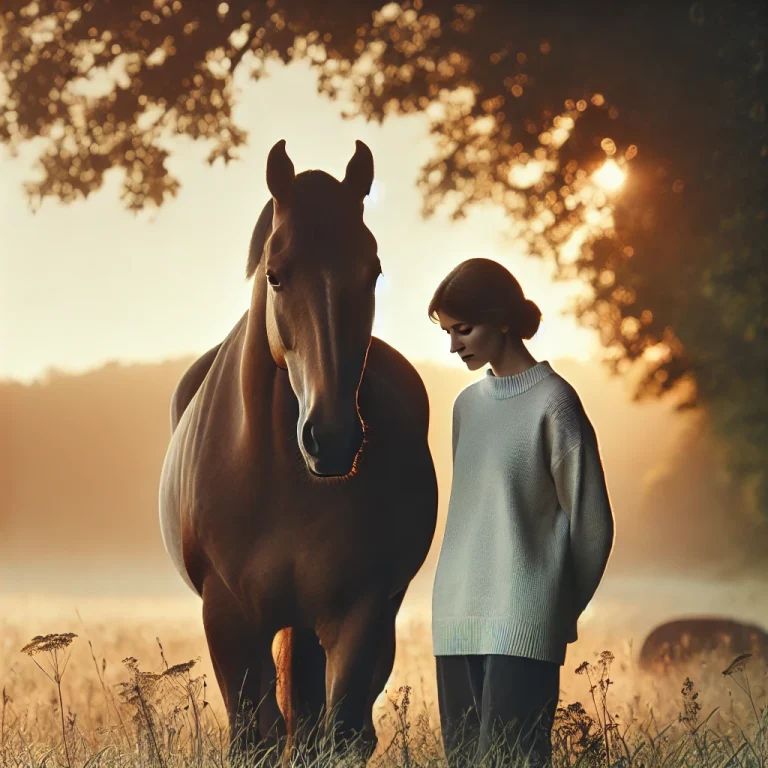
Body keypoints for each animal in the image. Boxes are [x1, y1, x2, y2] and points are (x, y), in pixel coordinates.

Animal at [159, 139, 438, 761]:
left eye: (373, 271)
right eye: (276, 275)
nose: (330, 438)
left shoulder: (358, 614)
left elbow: (336, 735)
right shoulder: (230, 619)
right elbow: (252, 740)